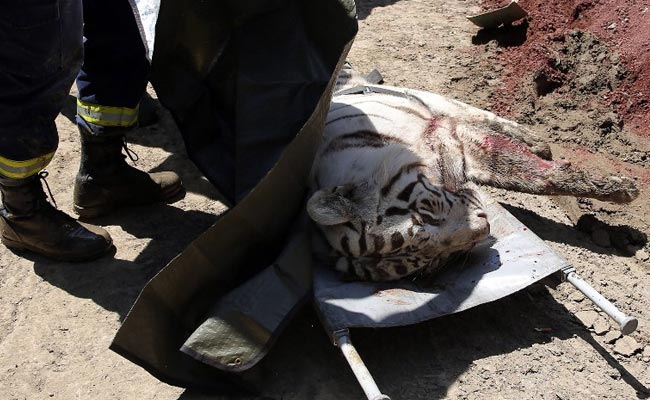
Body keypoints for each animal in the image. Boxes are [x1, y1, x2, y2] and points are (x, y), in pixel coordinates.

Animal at [306, 64, 639, 282]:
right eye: (435, 262)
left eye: (428, 214)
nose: (483, 229)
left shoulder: (447, 134)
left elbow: (537, 175)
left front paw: (620, 189)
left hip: (431, 101)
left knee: (480, 114)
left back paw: (536, 140)